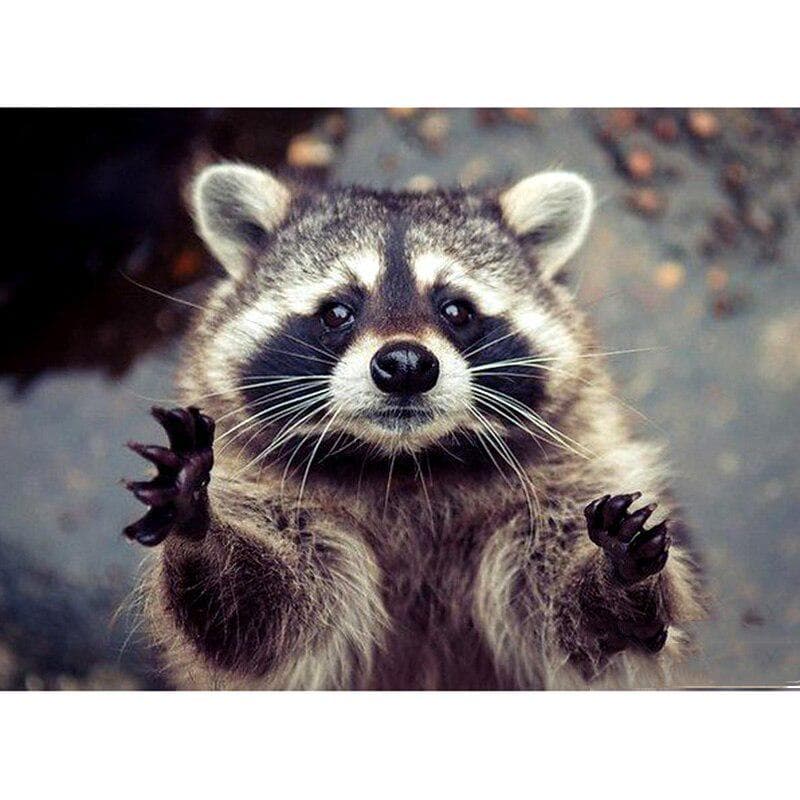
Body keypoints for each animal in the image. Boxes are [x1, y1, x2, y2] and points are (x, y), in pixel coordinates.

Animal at [123, 163, 705, 689]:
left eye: (457, 309)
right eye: (338, 311)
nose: (405, 365)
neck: (407, 464)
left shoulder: (559, 485)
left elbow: (572, 627)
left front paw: (614, 577)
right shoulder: (265, 489)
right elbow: (256, 623)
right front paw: (198, 520)